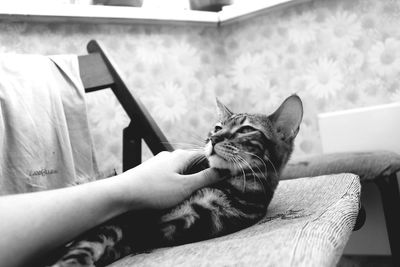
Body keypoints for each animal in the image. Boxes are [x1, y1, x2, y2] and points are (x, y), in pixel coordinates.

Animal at [47, 95, 304, 267]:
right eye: (217, 127)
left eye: (245, 130)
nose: (213, 139)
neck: (234, 188)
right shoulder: (122, 221)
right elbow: (84, 248)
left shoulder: (158, 228)